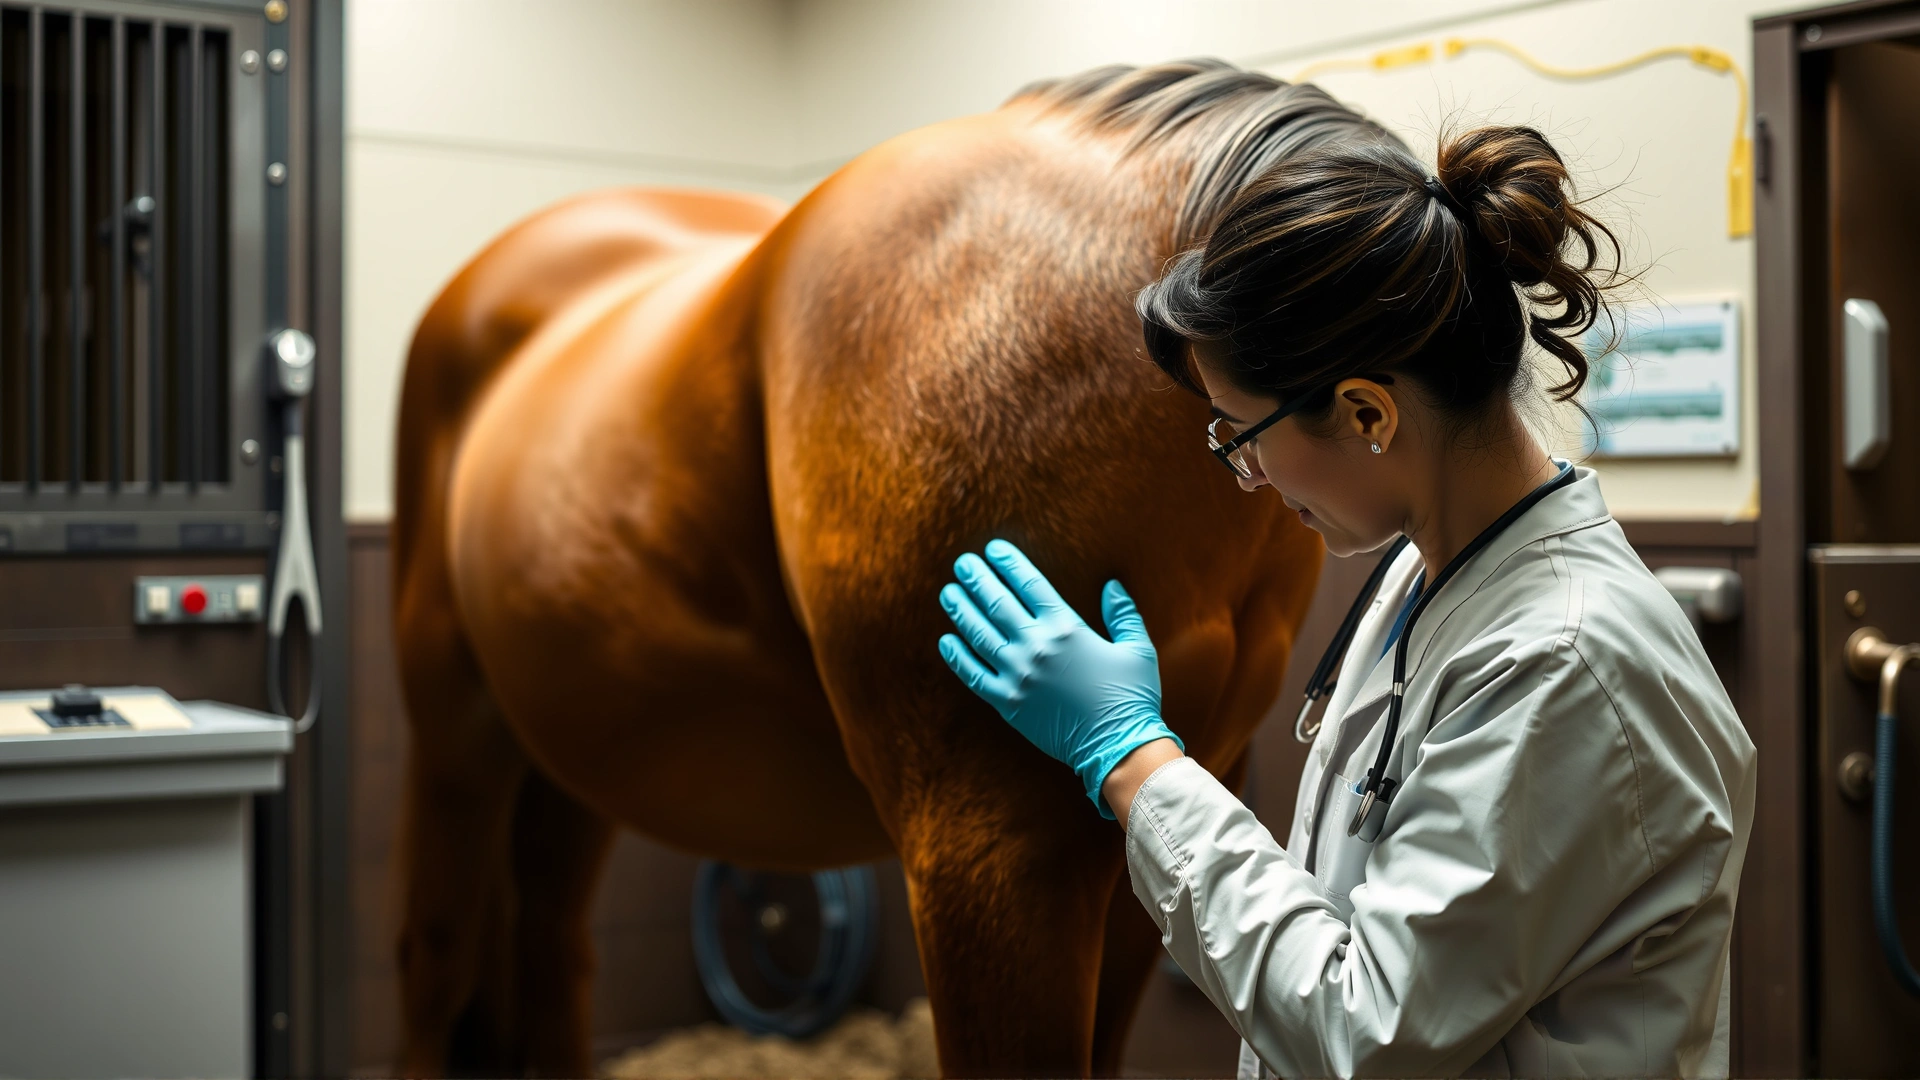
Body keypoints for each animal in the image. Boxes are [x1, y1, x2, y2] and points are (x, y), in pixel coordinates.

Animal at [391, 60, 1389, 1077]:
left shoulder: (1157, 807)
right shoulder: (989, 849)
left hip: (576, 745)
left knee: (551, 946)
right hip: (455, 722)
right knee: (437, 953)